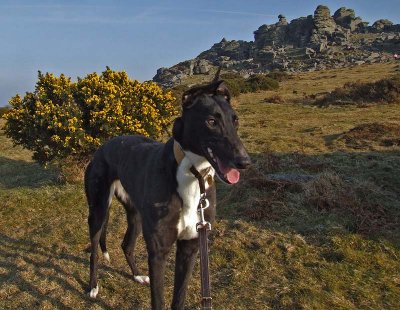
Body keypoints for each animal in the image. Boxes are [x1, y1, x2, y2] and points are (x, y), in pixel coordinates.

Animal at [84, 76, 250, 308]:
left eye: (235, 121)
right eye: (211, 122)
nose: (244, 162)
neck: (193, 174)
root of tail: (103, 147)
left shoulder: (190, 248)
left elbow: (178, 298)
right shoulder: (158, 252)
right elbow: (158, 301)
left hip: (136, 214)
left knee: (127, 245)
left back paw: (137, 275)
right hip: (98, 210)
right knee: (94, 252)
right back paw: (93, 286)